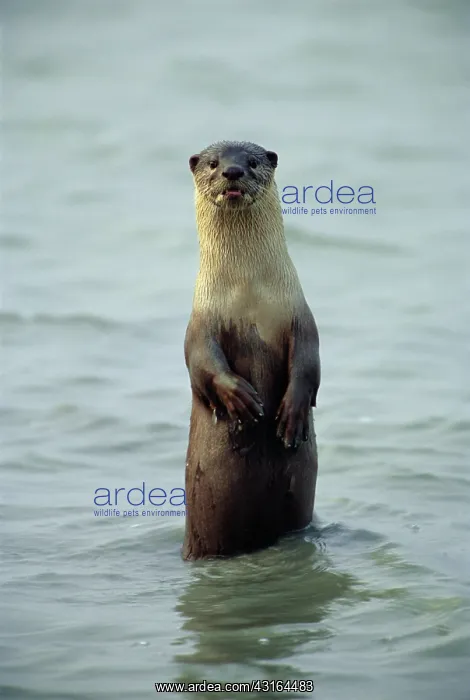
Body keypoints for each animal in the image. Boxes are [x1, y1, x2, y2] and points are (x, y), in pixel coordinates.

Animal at [183, 141, 320, 560]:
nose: (232, 171)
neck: (249, 293)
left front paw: (291, 414)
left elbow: (308, 363)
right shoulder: (200, 323)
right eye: (213, 163)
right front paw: (240, 399)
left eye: (253, 161)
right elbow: (201, 361)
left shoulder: (300, 315)